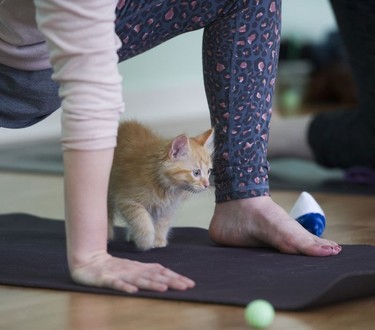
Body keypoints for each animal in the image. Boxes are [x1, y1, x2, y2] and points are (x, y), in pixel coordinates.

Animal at [108, 120, 214, 250]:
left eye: (208, 171)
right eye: (196, 173)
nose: (207, 184)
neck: (165, 187)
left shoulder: (169, 208)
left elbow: (162, 223)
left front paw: (158, 240)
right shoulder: (126, 200)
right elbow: (141, 219)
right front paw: (146, 241)